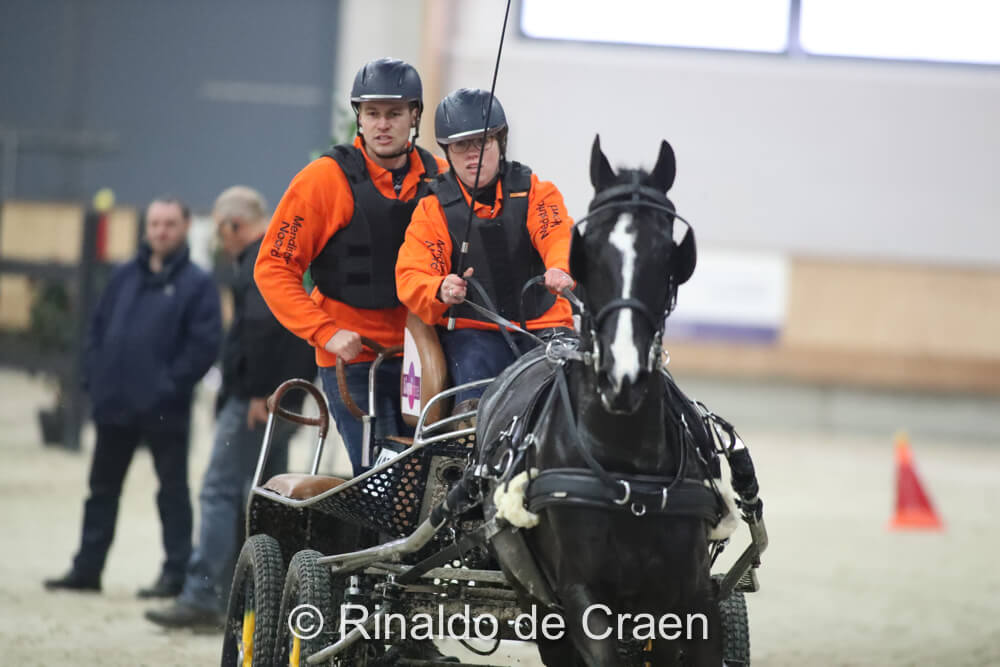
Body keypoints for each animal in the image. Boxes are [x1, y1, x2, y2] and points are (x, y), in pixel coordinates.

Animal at [475, 136, 726, 666]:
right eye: (587, 249)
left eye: (667, 252)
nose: (623, 375)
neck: (627, 466)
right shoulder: (580, 595)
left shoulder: (690, 595)